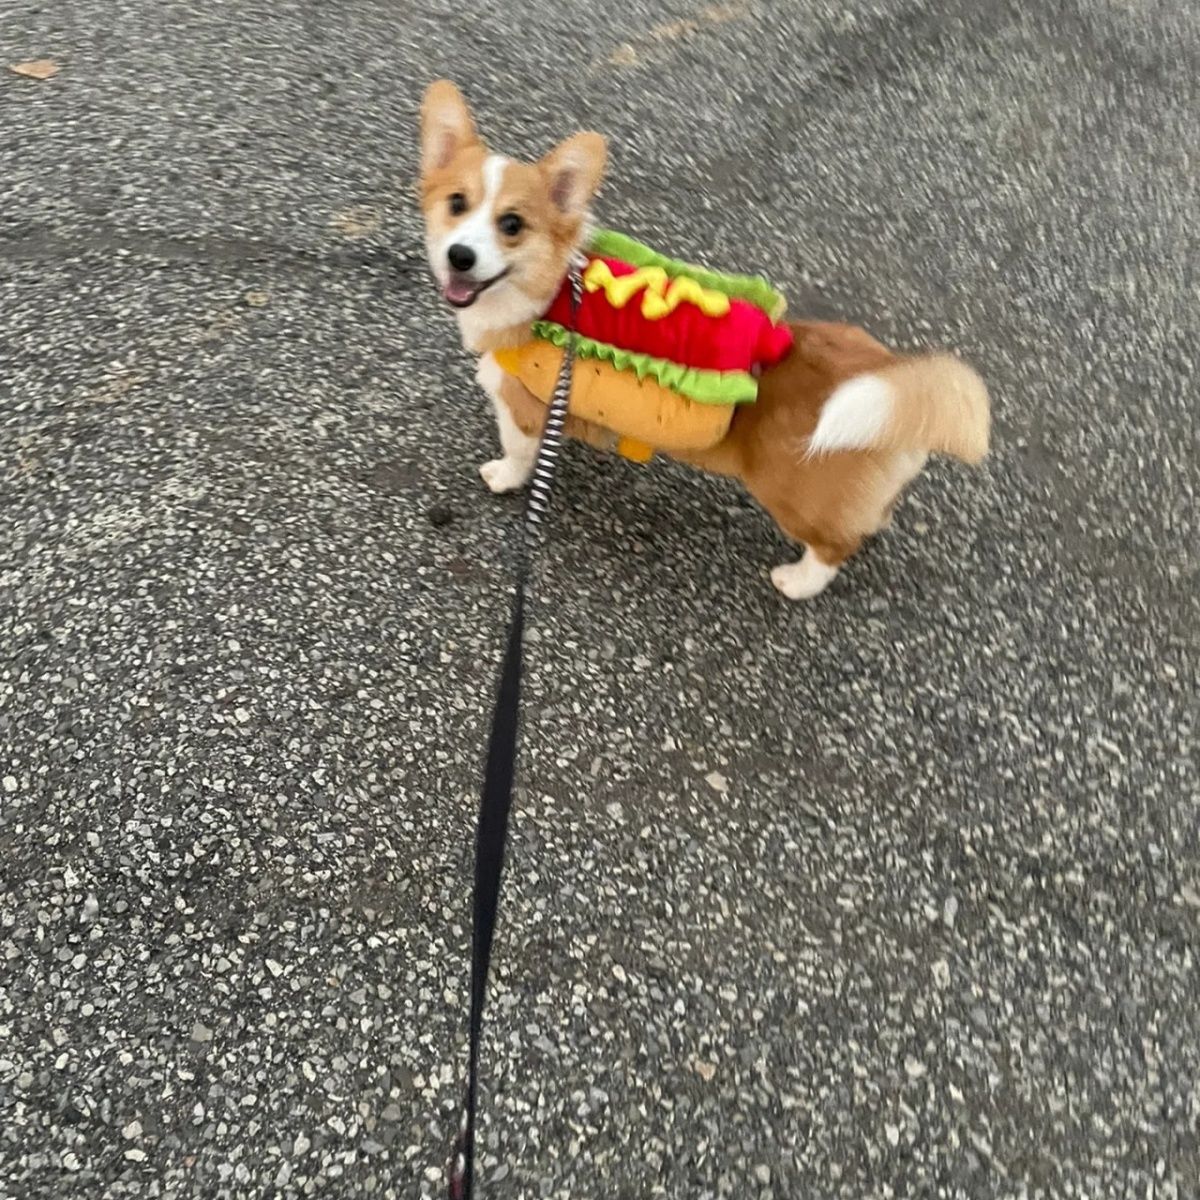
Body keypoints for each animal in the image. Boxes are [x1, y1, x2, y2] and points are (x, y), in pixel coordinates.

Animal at [417, 78, 988, 595]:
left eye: (512, 224)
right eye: (456, 203)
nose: (460, 257)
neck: (552, 294)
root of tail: (887, 373)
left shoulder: (519, 408)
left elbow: (516, 452)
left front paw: (504, 476)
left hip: (792, 495)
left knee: (832, 547)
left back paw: (795, 581)